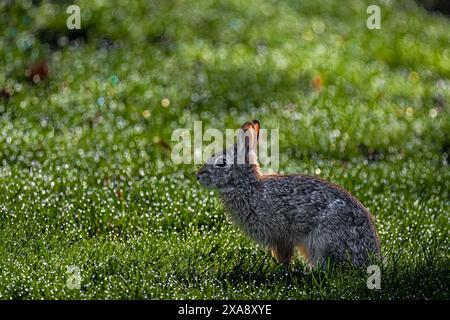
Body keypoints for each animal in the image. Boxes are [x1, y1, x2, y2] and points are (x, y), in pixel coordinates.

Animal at [195, 120, 382, 268]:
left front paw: (281, 269)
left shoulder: (281, 235)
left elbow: (284, 255)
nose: (198, 176)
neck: (246, 185)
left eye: (222, 163)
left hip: (324, 240)